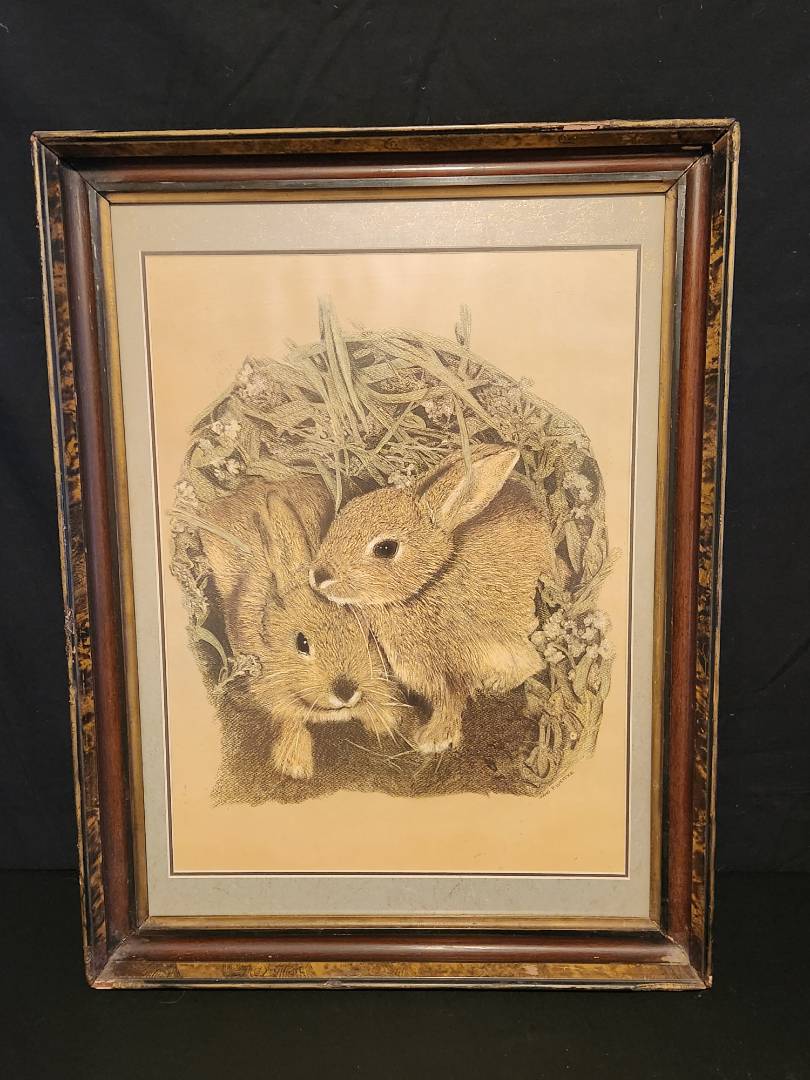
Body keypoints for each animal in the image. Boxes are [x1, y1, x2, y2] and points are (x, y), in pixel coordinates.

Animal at [198, 476, 402, 779]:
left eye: (369, 636)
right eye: (302, 643)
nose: (345, 691)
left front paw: (385, 722)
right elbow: (288, 718)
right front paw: (294, 764)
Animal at [309, 445, 557, 754]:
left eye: (385, 548)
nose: (319, 575)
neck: (423, 588)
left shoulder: (457, 666)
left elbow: (453, 699)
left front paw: (434, 739)